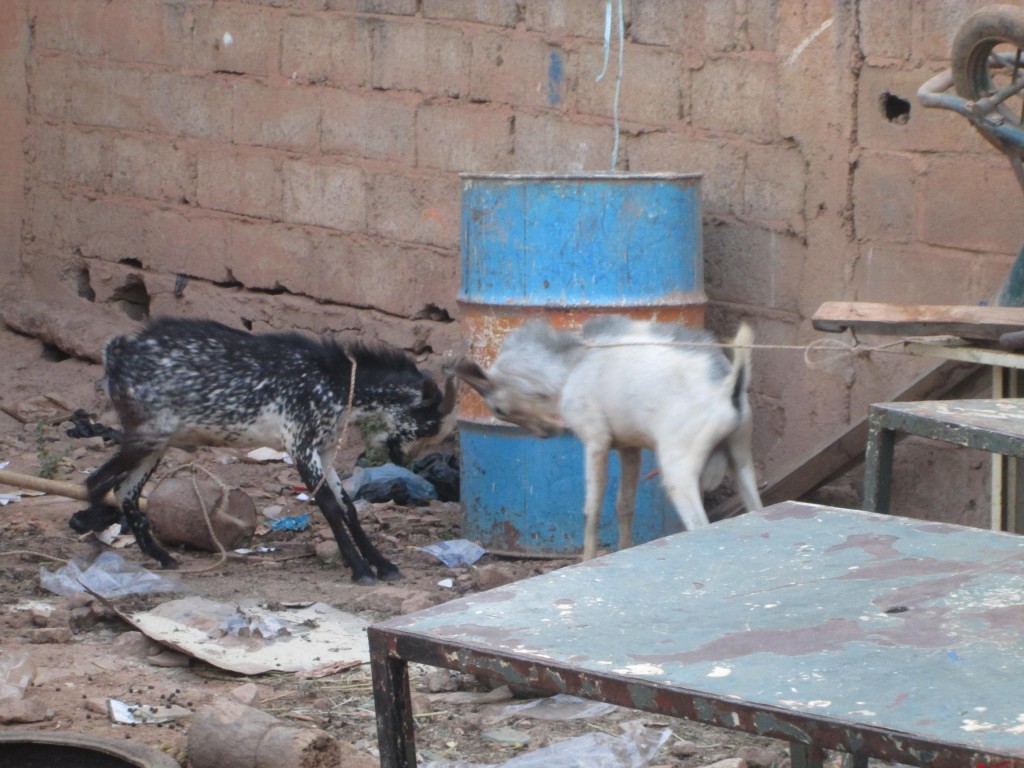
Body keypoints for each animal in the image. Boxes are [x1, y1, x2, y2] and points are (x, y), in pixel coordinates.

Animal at [72, 319, 456, 581]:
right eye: (429, 425)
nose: (404, 460)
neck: (333, 382)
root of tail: (115, 352)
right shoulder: (301, 445)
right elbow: (329, 506)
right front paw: (361, 570)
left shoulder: (324, 451)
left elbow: (348, 506)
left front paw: (385, 565)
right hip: (146, 435)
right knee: (96, 482)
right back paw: (93, 537)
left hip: (156, 443)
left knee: (125, 491)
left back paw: (162, 557)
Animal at [454, 315, 761, 561]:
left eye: (499, 410)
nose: (546, 434)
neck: (571, 367)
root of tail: (727, 387)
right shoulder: (629, 448)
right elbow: (624, 505)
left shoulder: (595, 442)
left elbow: (592, 511)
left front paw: (587, 560)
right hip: (741, 458)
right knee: (756, 507)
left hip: (679, 469)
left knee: (700, 523)